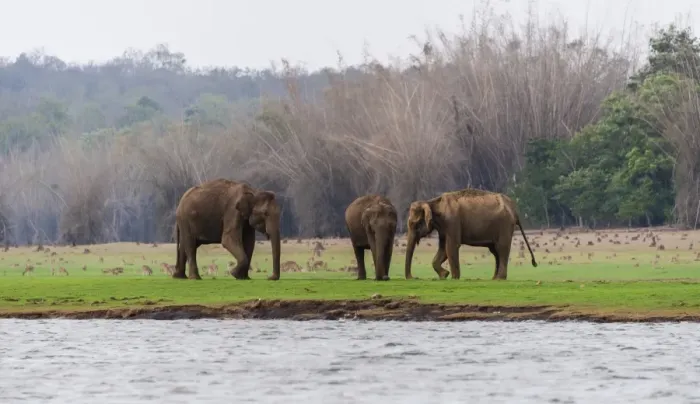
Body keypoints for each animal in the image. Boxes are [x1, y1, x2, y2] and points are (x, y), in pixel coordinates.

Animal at [404, 188, 537, 280]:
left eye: (416, 224)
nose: (413, 277)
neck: (432, 202)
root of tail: (514, 208)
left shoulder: (452, 221)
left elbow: (451, 246)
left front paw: (454, 278)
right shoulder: (444, 227)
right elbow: (443, 248)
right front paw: (444, 275)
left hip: (505, 225)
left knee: (502, 249)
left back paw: (500, 279)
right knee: (495, 251)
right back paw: (494, 279)